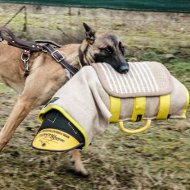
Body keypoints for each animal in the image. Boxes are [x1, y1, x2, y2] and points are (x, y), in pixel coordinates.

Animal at [0, 22, 129, 175]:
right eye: (107, 50)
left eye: (122, 49)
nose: (126, 69)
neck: (71, 64)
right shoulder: (24, 102)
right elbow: (6, 134)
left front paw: (78, 164)